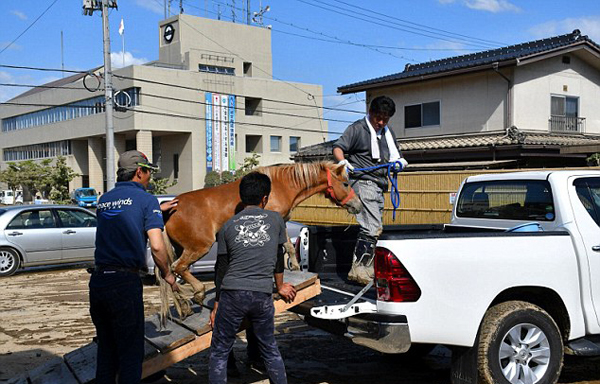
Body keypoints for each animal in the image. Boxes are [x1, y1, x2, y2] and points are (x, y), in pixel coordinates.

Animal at [159, 160, 364, 316]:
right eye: (346, 183)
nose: (358, 205)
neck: (281, 185)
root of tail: (172, 209)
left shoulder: (282, 222)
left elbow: (290, 247)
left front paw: (297, 269)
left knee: (170, 274)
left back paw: (184, 307)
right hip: (199, 247)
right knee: (178, 267)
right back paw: (199, 293)